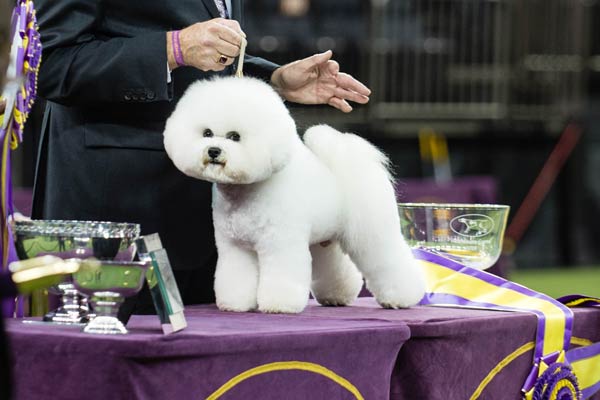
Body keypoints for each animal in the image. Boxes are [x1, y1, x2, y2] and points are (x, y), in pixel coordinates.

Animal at [164, 75, 424, 312]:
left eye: (234, 136)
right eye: (207, 133)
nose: (213, 151)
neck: (246, 191)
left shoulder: (280, 243)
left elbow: (282, 274)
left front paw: (279, 305)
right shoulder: (235, 247)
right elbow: (237, 277)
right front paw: (235, 304)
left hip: (370, 232)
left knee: (387, 259)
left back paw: (402, 298)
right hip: (323, 240)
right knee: (335, 267)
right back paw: (336, 296)